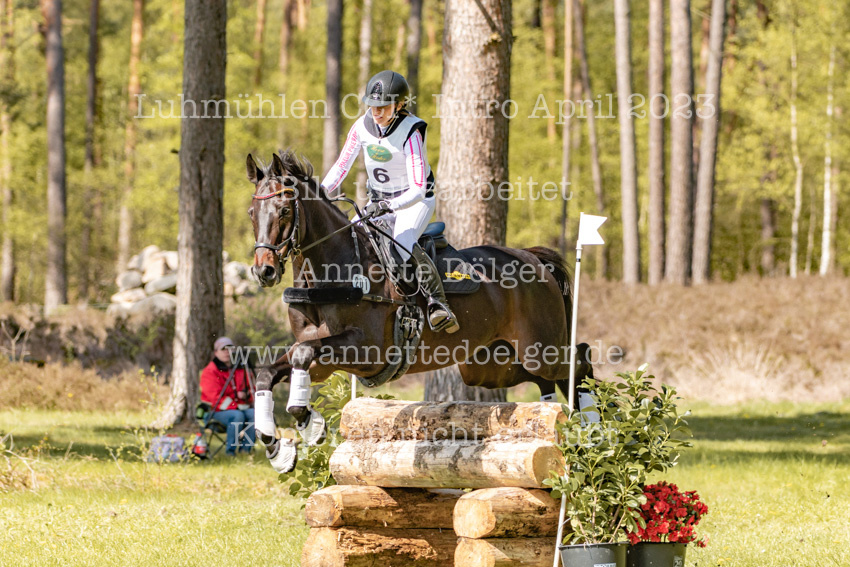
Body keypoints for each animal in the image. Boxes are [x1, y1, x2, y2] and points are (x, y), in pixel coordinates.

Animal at [247, 151, 594, 472]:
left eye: (284, 210)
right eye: (252, 213)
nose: (264, 271)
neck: (333, 269)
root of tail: (534, 259)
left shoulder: (367, 351)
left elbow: (303, 353)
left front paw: (311, 424)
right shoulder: (323, 362)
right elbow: (270, 371)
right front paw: (279, 449)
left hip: (539, 349)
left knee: (578, 360)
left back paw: (593, 428)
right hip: (488, 366)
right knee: (545, 377)